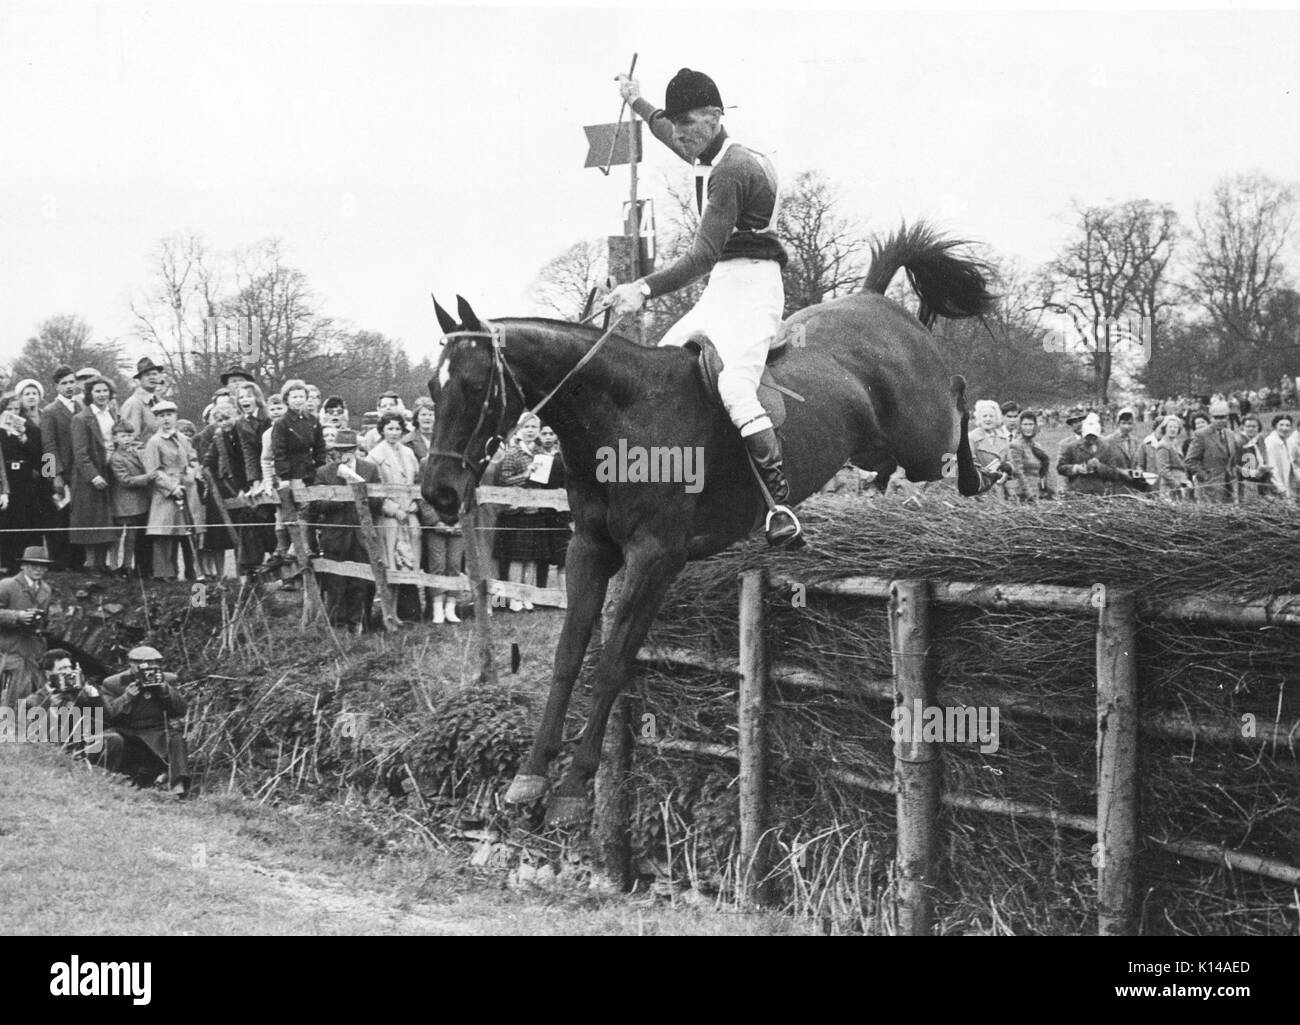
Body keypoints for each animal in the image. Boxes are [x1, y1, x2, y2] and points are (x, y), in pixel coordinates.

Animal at [426, 223, 993, 827]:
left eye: (473, 386)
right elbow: (567, 655)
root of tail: (874, 300)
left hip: (923, 437)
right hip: (877, 446)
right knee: (901, 452)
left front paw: (575, 783)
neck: (620, 415)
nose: (437, 492)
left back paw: (975, 477)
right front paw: (532, 771)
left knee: (958, 397)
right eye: (433, 390)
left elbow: (612, 662)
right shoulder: (590, 549)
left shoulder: (655, 557)